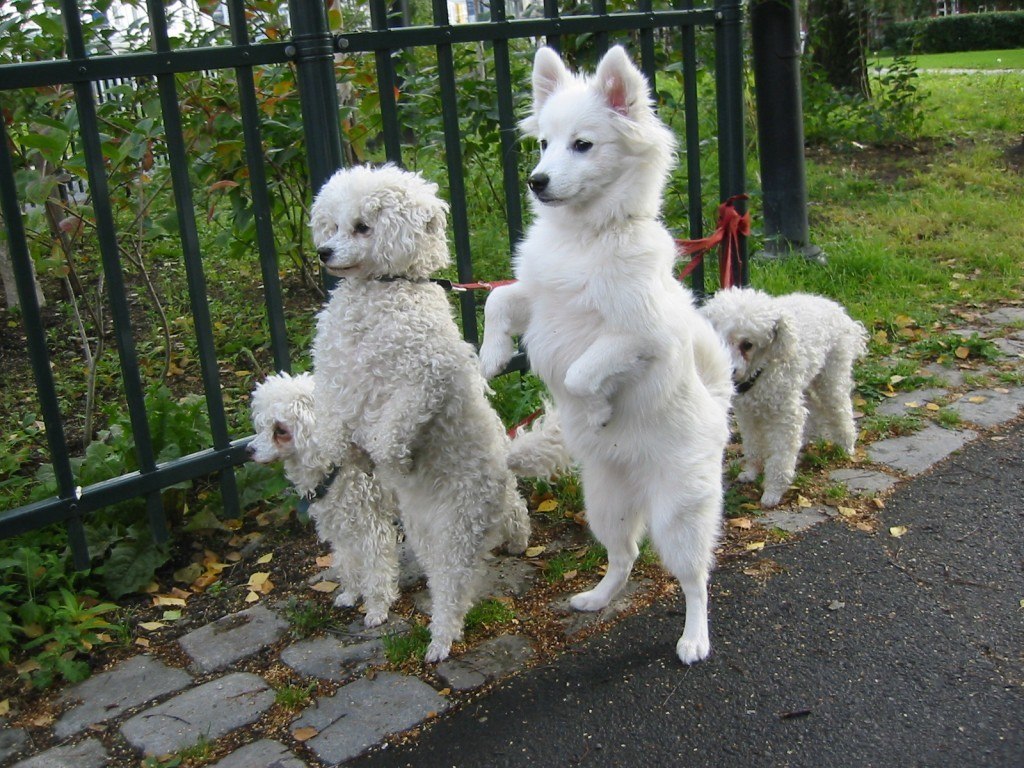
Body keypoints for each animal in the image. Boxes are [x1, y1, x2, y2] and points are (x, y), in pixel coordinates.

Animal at [247, 370, 399, 626]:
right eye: (262, 425)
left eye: (280, 430)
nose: (248, 450)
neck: (336, 465)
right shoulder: (341, 525)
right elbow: (347, 562)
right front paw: (351, 594)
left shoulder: (372, 528)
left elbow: (376, 572)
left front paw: (377, 609)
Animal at [481, 45, 737, 663]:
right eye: (543, 143)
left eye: (583, 144)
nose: (536, 181)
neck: (584, 237)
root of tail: (718, 407)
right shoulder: (541, 301)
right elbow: (499, 299)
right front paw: (490, 357)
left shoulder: (642, 334)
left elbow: (580, 371)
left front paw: (594, 408)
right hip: (606, 504)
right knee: (626, 556)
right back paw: (596, 598)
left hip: (679, 514)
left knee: (695, 579)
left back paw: (694, 638)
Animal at [700, 286, 868, 507]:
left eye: (748, 344)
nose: (731, 371)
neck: (760, 370)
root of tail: (838, 310)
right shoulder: (747, 414)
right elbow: (753, 445)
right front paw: (751, 471)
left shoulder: (786, 415)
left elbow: (780, 458)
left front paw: (773, 491)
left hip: (831, 377)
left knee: (840, 410)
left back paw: (847, 446)